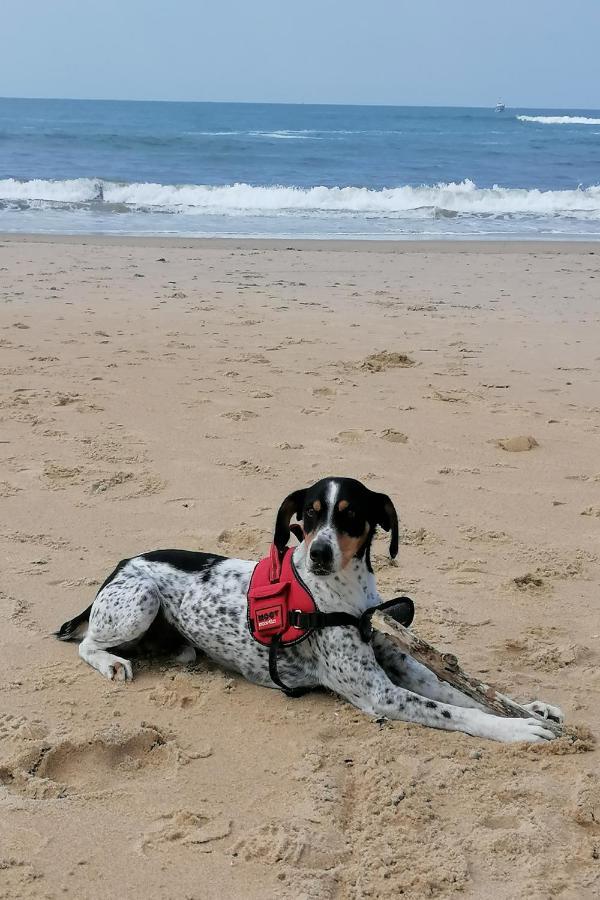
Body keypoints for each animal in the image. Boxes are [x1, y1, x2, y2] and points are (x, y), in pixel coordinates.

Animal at [56, 478, 564, 744]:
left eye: (351, 514)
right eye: (309, 516)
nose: (319, 553)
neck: (347, 600)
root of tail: (124, 562)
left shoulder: (400, 665)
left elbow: (458, 691)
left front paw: (533, 709)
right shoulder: (380, 694)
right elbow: (458, 712)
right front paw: (520, 729)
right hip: (140, 600)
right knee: (85, 642)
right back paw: (112, 662)